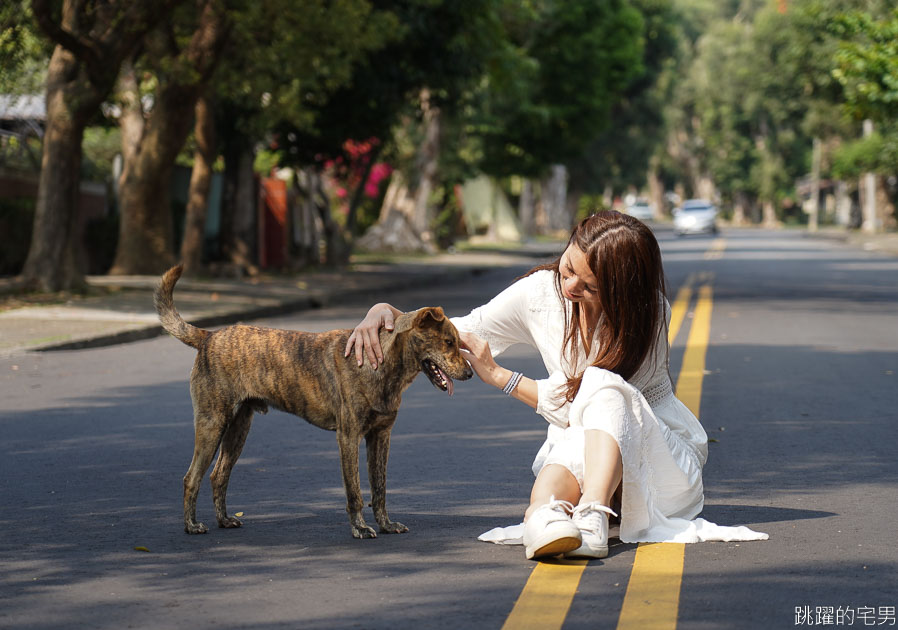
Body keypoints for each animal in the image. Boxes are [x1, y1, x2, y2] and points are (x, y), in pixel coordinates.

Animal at [154, 264, 476, 540]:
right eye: (448, 342)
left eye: (456, 342)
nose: (471, 373)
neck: (384, 364)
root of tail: (208, 336)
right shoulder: (348, 437)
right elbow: (355, 491)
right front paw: (360, 528)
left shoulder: (381, 436)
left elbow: (379, 488)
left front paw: (386, 524)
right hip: (212, 423)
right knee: (191, 477)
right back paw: (192, 525)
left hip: (238, 428)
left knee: (218, 475)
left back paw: (223, 520)